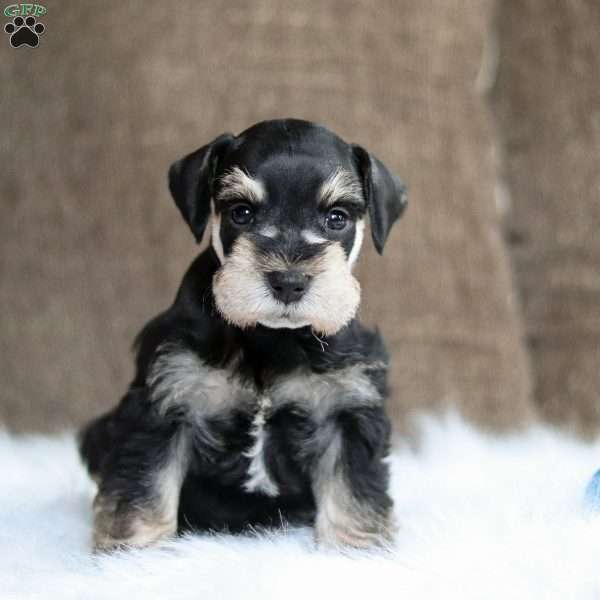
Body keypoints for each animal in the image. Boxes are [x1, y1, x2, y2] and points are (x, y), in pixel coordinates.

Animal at [79, 118, 408, 552]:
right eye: (242, 212)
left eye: (337, 217)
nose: (289, 282)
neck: (271, 338)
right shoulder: (166, 402)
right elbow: (143, 486)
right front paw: (134, 550)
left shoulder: (346, 409)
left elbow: (354, 490)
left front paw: (355, 548)